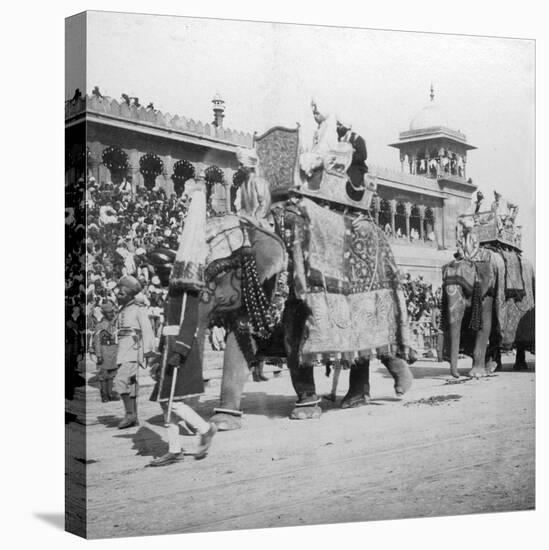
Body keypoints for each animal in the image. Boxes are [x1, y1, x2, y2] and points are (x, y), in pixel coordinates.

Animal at [440, 246, 536, 380]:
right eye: (443, 291)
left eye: (464, 291)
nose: (457, 376)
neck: (474, 260)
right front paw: (483, 371)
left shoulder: (488, 290)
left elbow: (485, 325)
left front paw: (476, 374)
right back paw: (494, 368)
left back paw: (518, 367)